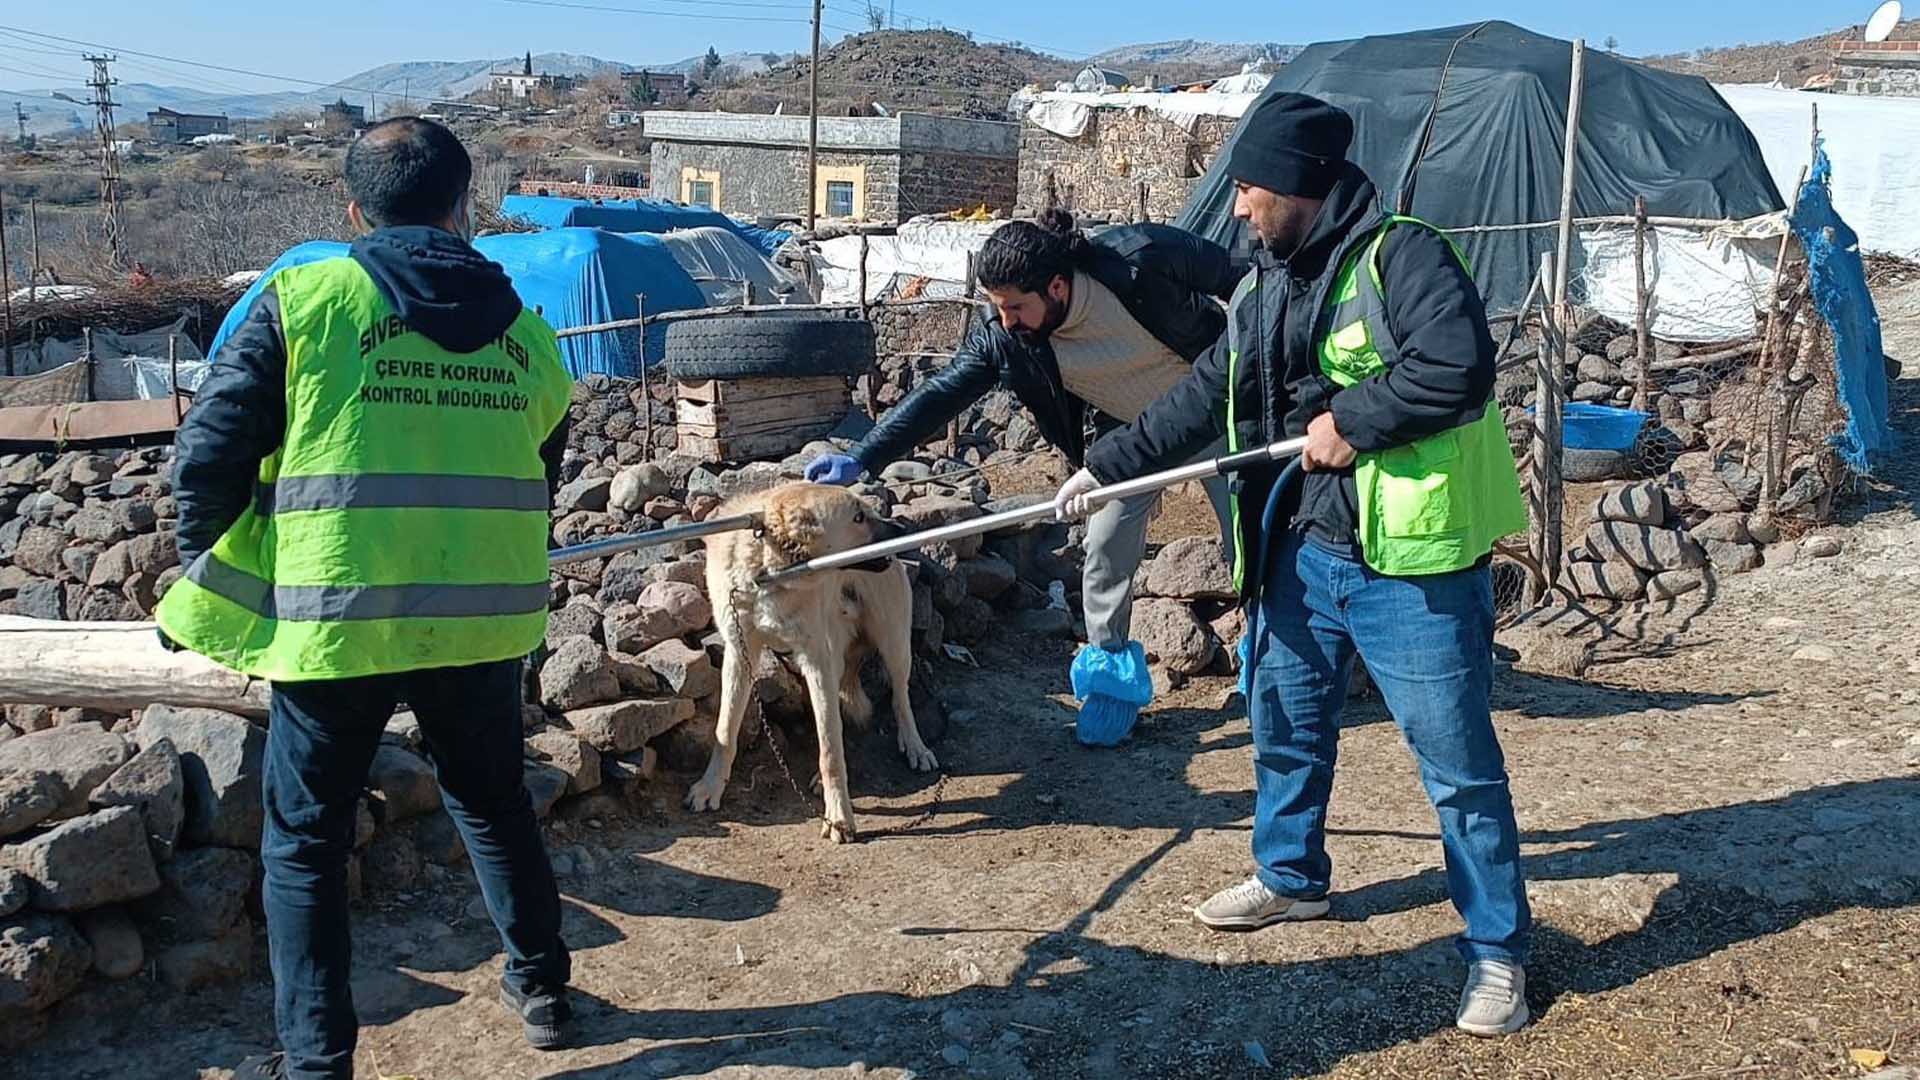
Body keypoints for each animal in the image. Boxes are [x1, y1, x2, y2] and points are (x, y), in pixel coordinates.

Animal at [687, 478, 940, 841]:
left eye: (866, 511)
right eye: (858, 517)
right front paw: (710, 787)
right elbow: (725, 731)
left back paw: (914, 745)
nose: (903, 530)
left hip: (893, 642)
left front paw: (839, 816)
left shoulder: (816, 659)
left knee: (899, 698)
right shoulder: (739, 654)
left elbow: (831, 750)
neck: (768, 573)